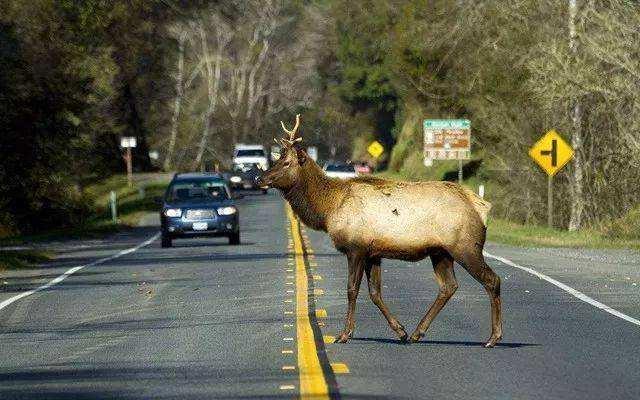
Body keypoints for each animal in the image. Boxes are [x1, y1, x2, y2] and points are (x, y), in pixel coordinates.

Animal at [258, 113, 502, 346]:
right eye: (277, 157)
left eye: (287, 162)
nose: (260, 178)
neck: (328, 209)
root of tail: (482, 208)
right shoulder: (373, 253)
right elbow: (375, 293)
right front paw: (400, 331)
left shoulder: (356, 248)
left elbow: (352, 289)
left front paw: (344, 334)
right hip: (440, 252)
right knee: (448, 286)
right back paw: (417, 332)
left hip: (465, 246)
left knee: (492, 280)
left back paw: (493, 337)